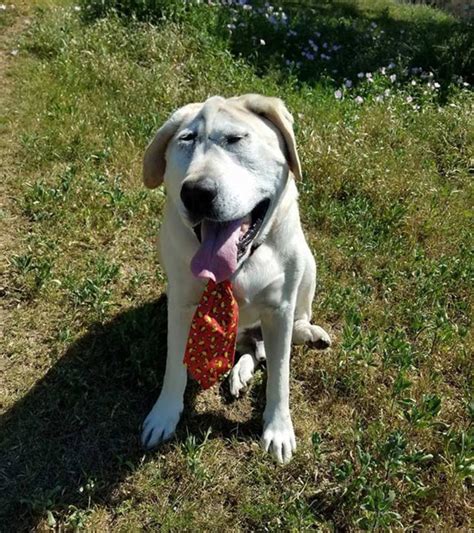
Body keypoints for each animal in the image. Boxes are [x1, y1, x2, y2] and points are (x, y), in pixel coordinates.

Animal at [141, 94, 330, 462]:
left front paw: (278, 428)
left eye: (236, 139)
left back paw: (307, 333)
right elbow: (174, 365)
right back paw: (241, 370)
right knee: (253, 350)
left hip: (307, 265)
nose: (196, 192)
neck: (239, 264)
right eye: (187, 139)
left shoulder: (279, 309)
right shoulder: (181, 305)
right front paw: (164, 413)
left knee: (289, 328)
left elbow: (280, 375)